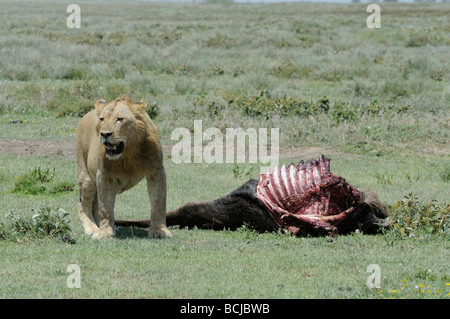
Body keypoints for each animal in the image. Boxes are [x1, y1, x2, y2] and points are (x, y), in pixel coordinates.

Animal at [75, 95, 171, 240]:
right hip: (87, 178)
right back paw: (92, 229)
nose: (104, 134)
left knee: (95, 205)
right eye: (102, 119)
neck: (128, 153)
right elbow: (105, 208)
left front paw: (159, 231)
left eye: (120, 119)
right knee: (82, 205)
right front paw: (105, 232)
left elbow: (159, 203)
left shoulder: (157, 172)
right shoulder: (103, 175)